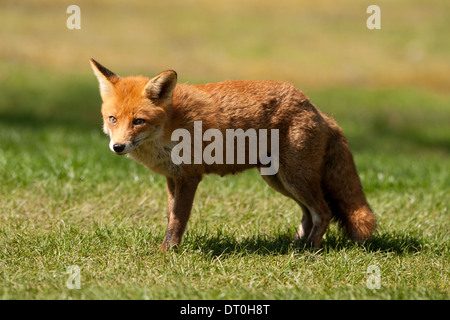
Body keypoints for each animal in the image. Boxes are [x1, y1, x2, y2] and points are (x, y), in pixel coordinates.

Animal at [89, 58, 376, 251]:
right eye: (113, 119)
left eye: (138, 121)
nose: (118, 147)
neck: (170, 125)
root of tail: (316, 108)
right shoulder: (172, 178)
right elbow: (171, 217)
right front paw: (168, 248)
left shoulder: (189, 177)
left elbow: (178, 220)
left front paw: (167, 252)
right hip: (279, 180)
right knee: (309, 214)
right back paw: (294, 246)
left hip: (295, 178)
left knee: (323, 212)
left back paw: (310, 250)